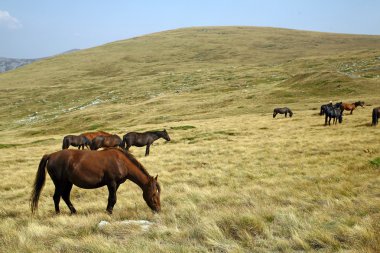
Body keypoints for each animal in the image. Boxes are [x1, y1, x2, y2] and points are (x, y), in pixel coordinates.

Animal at [30, 148, 160, 215]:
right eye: (154, 194)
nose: (158, 209)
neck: (121, 161)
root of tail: (51, 155)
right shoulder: (112, 183)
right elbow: (113, 198)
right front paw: (109, 212)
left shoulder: (116, 184)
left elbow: (111, 198)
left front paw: (108, 210)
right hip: (60, 183)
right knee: (57, 197)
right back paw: (58, 213)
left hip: (68, 183)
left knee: (65, 196)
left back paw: (74, 211)